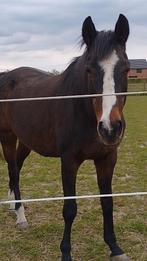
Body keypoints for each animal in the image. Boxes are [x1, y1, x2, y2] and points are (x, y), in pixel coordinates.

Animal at [0, 14, 129, 260]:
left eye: (126, 68)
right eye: (89, 70)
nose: (110, 128)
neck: (82, 109)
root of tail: (6, 76)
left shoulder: (107, 159)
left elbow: (107, 203)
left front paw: (115, 248)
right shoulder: (69, 161)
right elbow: (70, 209)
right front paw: (66, 252)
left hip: (26, 141)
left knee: (16, 170)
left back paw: (14, 207)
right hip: (8, 138)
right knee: (12, 170)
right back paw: (21, 216)